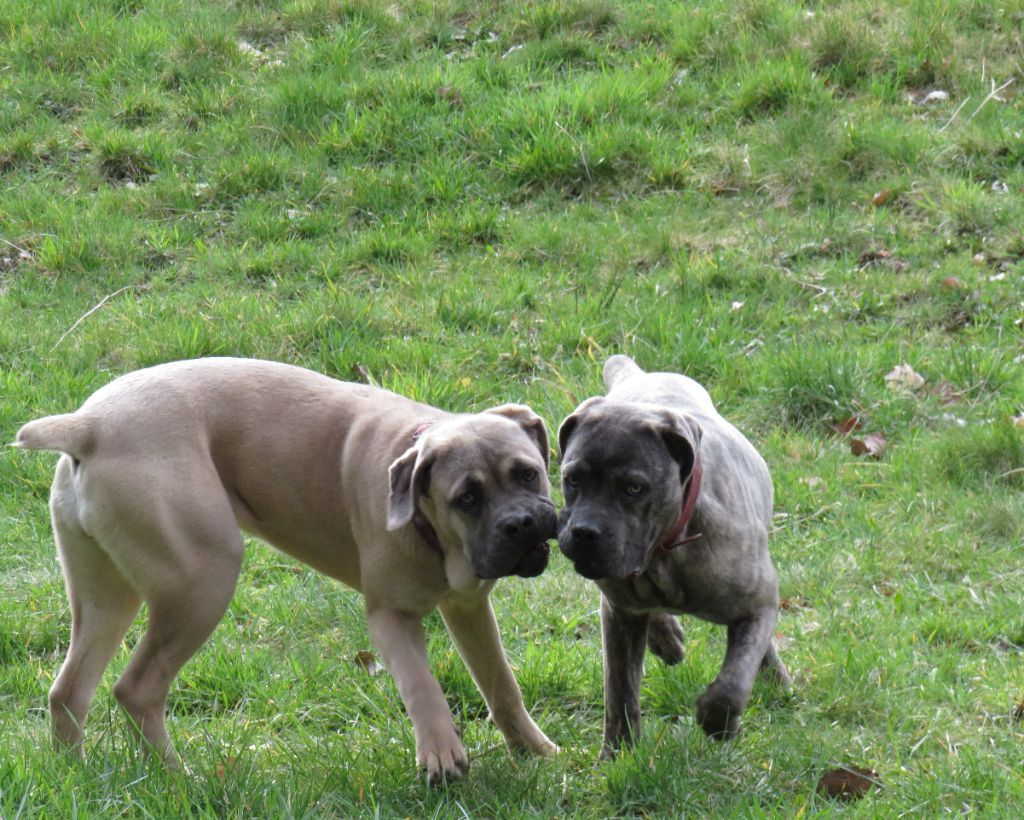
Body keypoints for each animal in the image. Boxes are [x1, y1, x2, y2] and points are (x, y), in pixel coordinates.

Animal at [557, 354, 786, 753]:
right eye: (572, 479)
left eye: (633, 488)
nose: (584, 532)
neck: (665, 551)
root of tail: (639, 375)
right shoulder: (618, 613)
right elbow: (620, 690)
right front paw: (618, 752)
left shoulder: (757, 604)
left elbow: (734, 681)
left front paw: (719, 721)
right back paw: (665, 636)